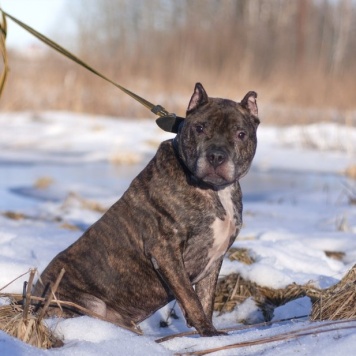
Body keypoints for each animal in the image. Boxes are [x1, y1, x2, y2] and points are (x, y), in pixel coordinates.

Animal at [33, 83, 258, 336]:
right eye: (200, 128)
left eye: (241, 134)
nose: (217, 156)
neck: (215, 190)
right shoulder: (165, 249)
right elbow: (190, 296)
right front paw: (208, 333)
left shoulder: (215, 258)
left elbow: (206, 298)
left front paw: (210, 330)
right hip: (87, 302)